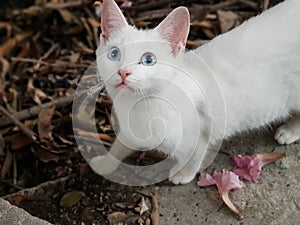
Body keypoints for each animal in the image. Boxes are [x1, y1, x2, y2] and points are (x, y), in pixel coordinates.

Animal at [91, 0, 300, 185]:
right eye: (114, 54)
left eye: (149, 59)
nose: (123, 72)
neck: (138, 106)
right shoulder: (132, 131)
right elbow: (119, 147)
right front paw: (105, 164)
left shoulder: (200, 132)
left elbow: (194, 156)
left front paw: (183, 174)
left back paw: (289, 131)